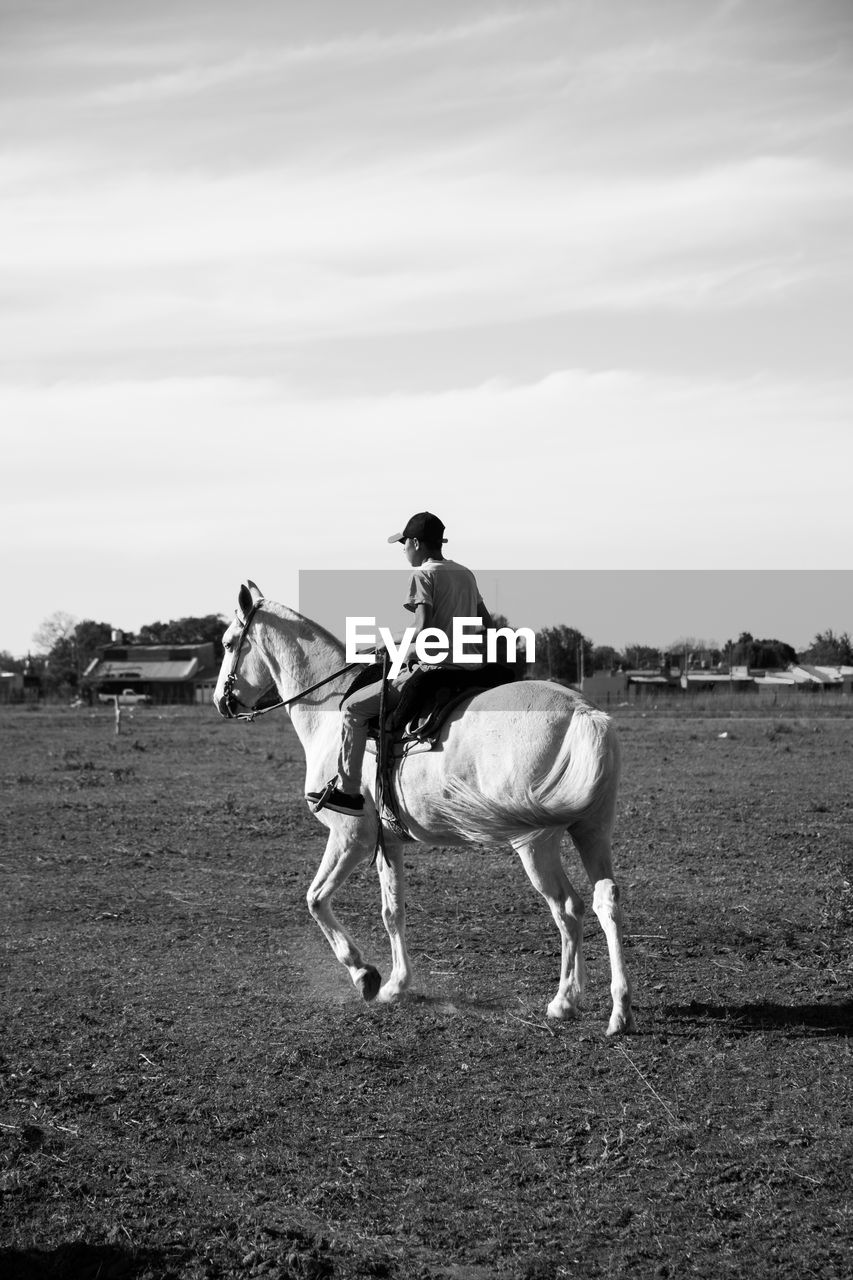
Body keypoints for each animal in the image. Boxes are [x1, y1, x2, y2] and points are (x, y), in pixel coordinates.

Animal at [213, 586, 630, 1034]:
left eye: (229, 643)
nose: (221, 700)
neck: (329, 708)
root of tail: (583, 713)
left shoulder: (351, 837)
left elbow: (316, 899)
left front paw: (364, 973)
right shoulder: (388, 841)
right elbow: (392, 910)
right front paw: (396, 985)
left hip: (536, 844)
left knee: (567, 909)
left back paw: (564, 1001)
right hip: (591, 831)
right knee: (604, 901)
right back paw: (617, 1008)